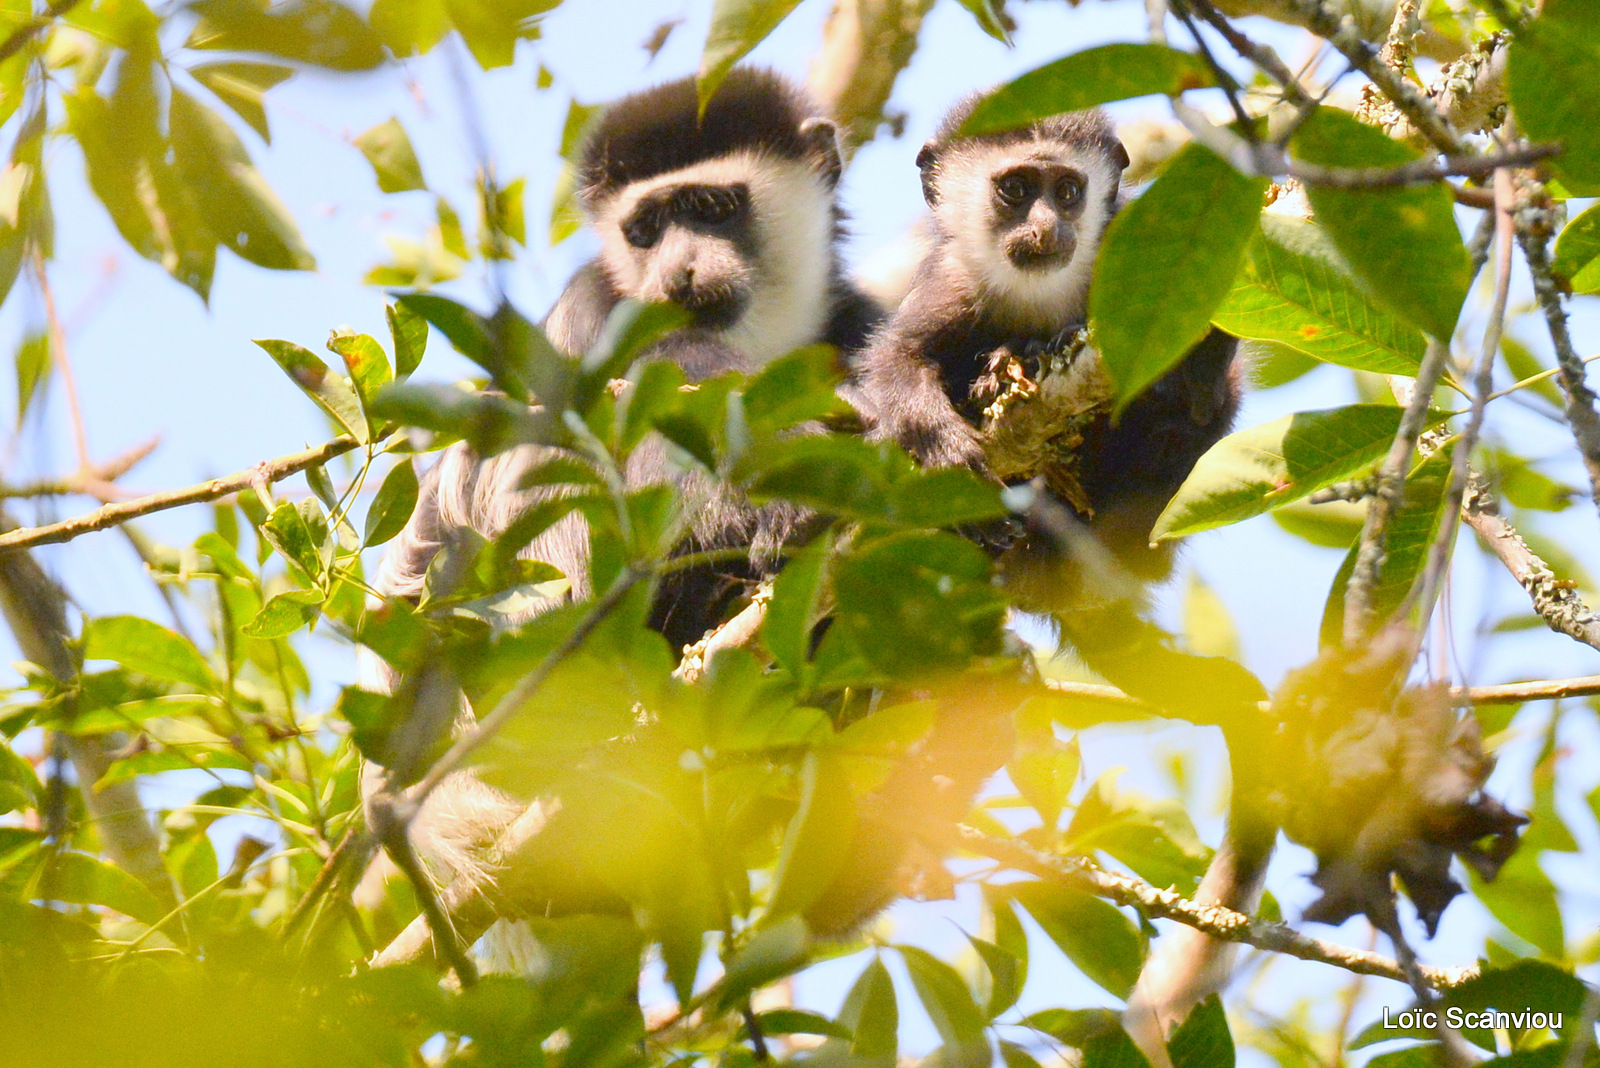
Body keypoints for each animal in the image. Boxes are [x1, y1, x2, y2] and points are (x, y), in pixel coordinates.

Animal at [857, 102, 1254, 1061]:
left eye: (1069, 190)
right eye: (1013, 189)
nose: (1046, 227)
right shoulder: (948, 289)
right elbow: (895, 368)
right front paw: (948, 437)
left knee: (1194, 424)